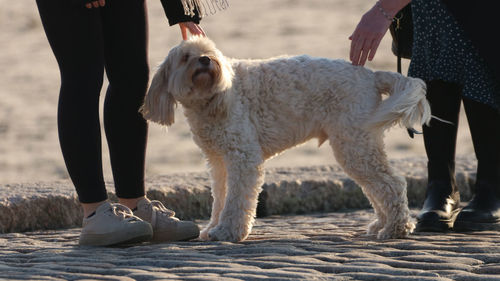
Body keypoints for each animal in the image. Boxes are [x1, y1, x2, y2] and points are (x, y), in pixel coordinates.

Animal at [141, 35, 430, 241]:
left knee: (392, 184)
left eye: (210, 53)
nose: (204, 60)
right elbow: (220, 198)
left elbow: (236, 200)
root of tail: (371, 75)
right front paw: (213, 227)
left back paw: (396, 228)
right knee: (376, 187)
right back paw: (383, 224)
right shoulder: (219, 162)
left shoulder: (243, 157)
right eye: (185, 57)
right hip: (358, 146)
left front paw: (227, 232)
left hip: (355, 145)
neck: (213, 98)